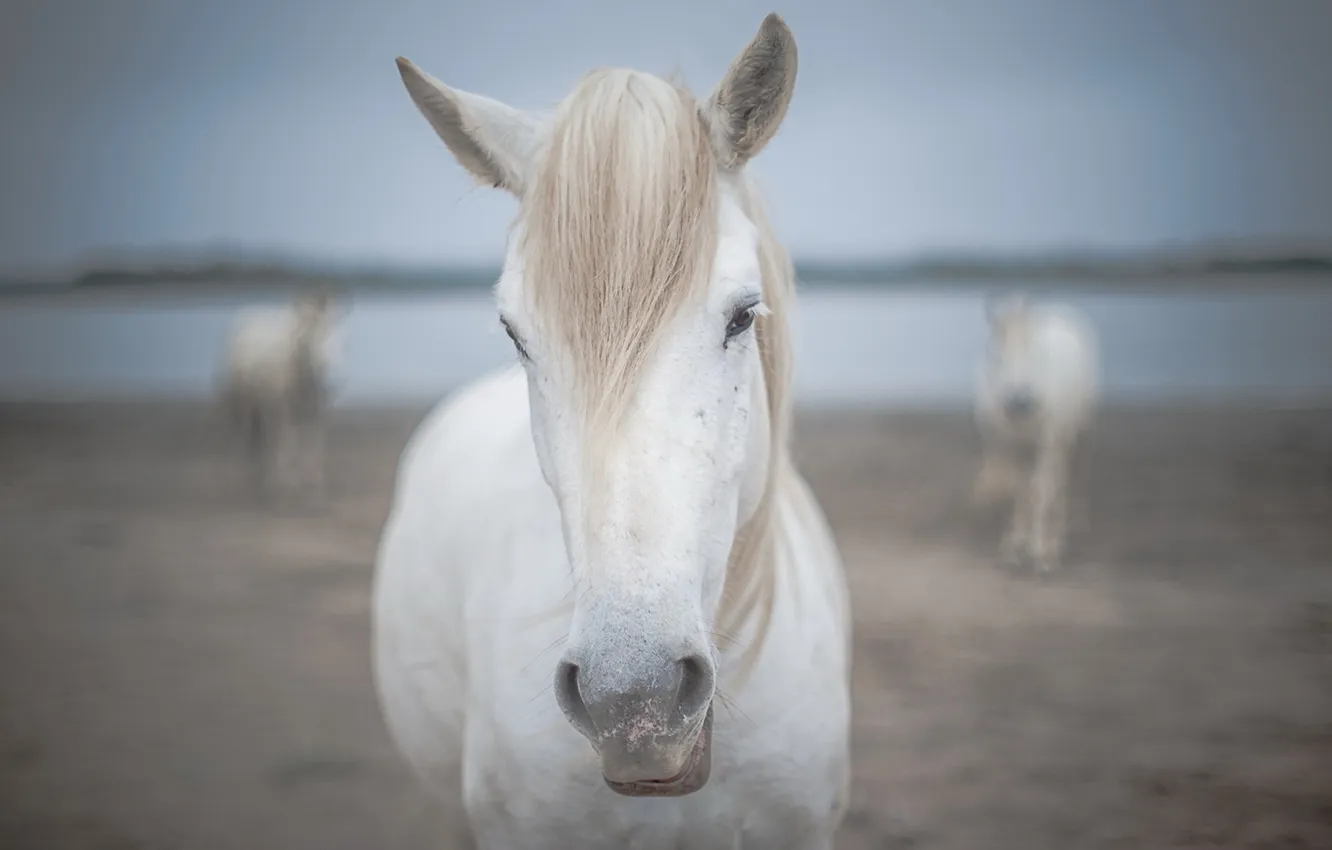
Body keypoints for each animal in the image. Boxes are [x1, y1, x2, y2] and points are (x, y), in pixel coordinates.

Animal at [218, 289, 342, 505]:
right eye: (309, 334)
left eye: (335, 329)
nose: (328, 368)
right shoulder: (284, 411)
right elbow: (287, 442)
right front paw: (285, 486)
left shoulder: (319, 413)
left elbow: (315, 445)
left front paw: (315, 487)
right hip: (242, 400)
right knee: (242, 433)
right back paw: (241, 480)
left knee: (259, 437)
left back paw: (259, 476)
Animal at [972, 293, 1100, 571]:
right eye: (996, 356)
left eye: (1034, 353)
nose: (1020, 401)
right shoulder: (1014, 445)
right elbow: (1021, 490)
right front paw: (1014, 547)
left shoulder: (1047, 441)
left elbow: (1041, 489)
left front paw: (1041, 553)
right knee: (1054, 480)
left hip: (1077, 432)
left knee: (1065, 476)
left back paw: (1068, 528)